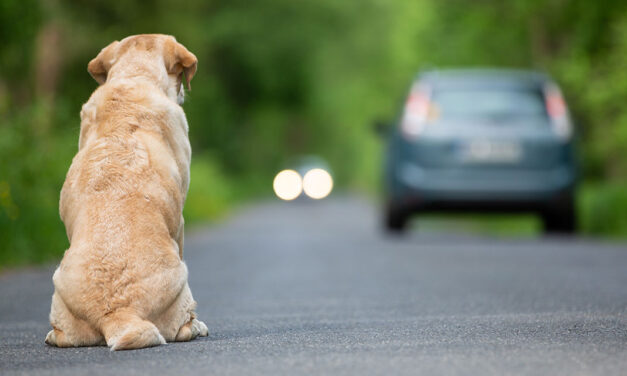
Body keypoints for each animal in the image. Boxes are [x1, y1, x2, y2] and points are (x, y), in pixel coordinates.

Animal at [45, 33, 211, 352]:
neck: (135, 76)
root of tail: (119, 312)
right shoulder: (180, 222)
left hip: (59, 287)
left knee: (62, 335)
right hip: (181, 280)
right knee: (183, 326)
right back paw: (197, 326)